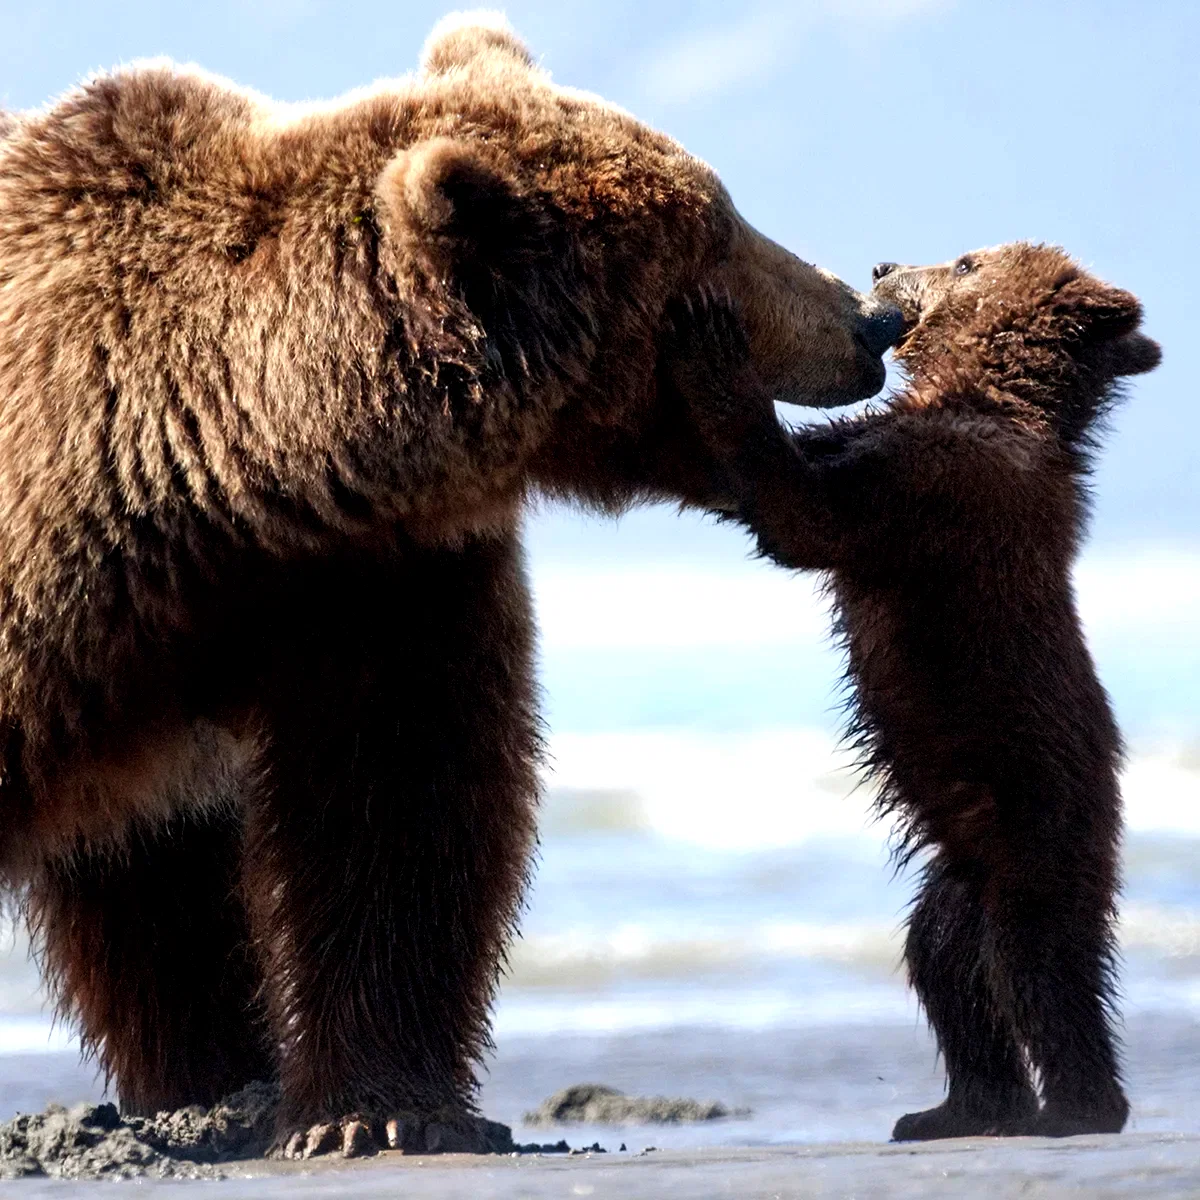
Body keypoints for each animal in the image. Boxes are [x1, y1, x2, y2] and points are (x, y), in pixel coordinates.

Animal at [0, 12, 902, 1157]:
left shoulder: (380, 578)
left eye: (724, 206)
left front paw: (378, 1111)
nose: (870, 320)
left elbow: (401, 801)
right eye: (718, 234)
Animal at [665, 243, 1160, 1140]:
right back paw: (955, 1108)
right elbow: (798, 470)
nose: (884, 263)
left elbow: (805, 516)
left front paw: (714, 345)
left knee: (1039, 959)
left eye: (967, 259)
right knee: (947, 964)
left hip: (1042, 817)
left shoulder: (942, 487)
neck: (985, 393)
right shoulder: (888, 442)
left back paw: (1077, 1109)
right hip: (959, 869)